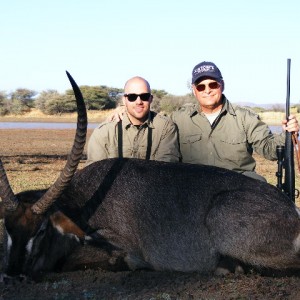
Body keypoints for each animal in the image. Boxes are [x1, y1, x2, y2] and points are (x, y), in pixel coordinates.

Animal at [0, 74, 300, 282]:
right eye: (7, 228)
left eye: (41, 230)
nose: (12, 275)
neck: (80, 202)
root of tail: (291, 210)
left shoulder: (122, 246)